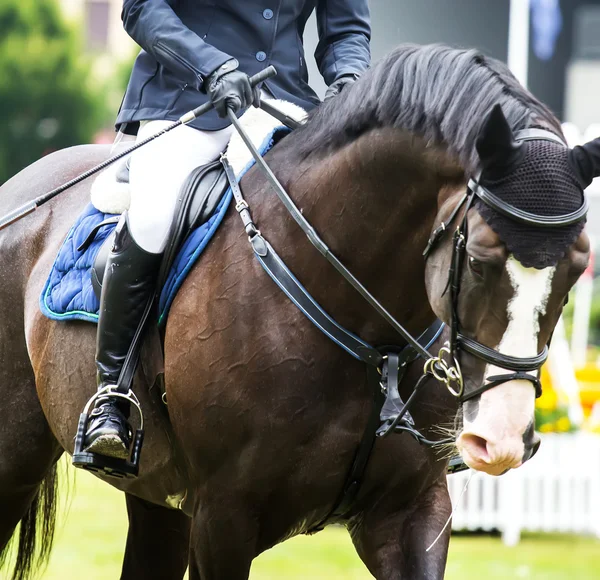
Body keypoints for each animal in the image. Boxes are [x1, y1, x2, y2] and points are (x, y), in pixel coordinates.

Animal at [0, 45, 592, 580]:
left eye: (578, 267)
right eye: (480, 260)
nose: (503, 438)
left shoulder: (412, 512)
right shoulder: (222, 519)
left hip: (155, 495)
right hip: (19, 457)